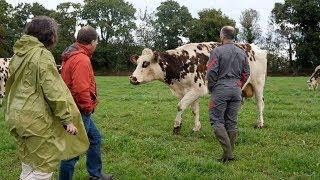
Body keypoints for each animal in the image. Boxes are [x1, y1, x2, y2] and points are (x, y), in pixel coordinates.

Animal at [129, 42, 266, 134]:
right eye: (137, 63)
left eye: (146, 63)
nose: (132, 78)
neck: (180, 62)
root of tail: (252, 46)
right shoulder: (189, 91)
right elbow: (194, 110)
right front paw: (196, 127)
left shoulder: (198, 89)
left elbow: (180, 106)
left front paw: (177, 126)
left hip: (258, 82)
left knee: (260, 103)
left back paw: (260, 123)